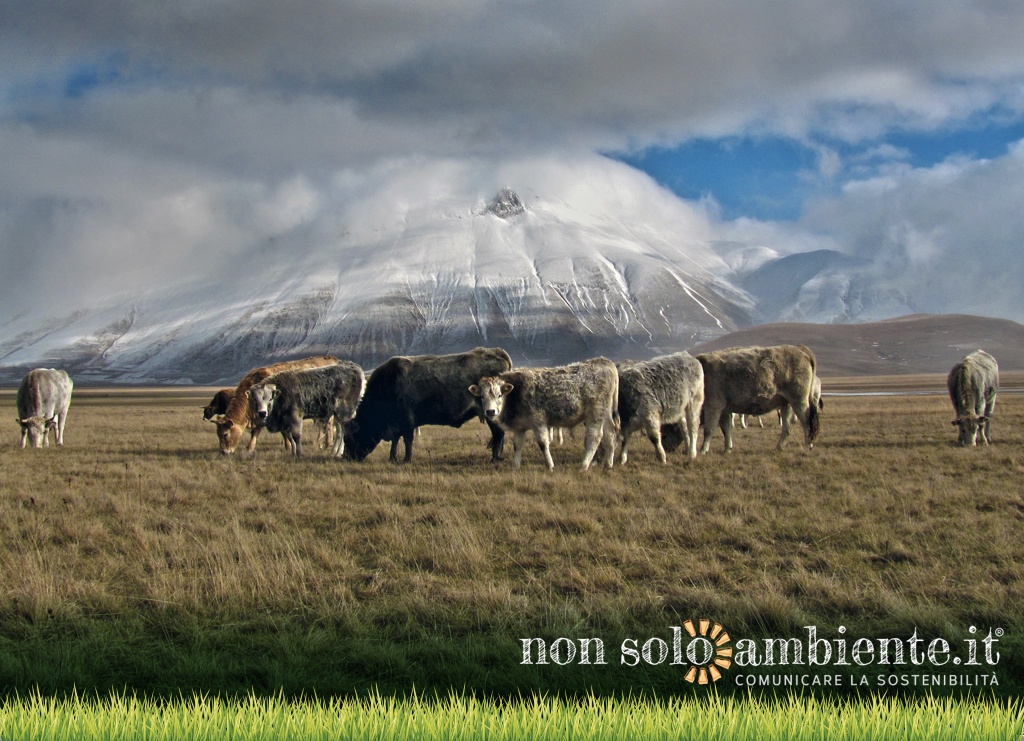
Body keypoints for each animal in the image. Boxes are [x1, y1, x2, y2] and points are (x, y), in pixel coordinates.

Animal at [209, 354, 342, 452]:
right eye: (217, 434)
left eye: (225, 434)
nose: (224, 452)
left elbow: (278, 432)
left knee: (328, 424)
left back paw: (328, 444)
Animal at [346, 343, 512, 460]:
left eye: (350, 437)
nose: (346, 457)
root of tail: (496, 352)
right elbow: (396, 441)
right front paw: (392, 458)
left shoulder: (407, 422)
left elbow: (407, 441)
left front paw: (406, 459)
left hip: (491, 413)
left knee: (498, 434)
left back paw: (494, 458)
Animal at [468, 358, 618, 468]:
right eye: (482, 396)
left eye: (499, 395)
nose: (490, 411)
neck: (516, 392)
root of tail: (603, 361)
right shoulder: (519, 427)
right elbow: (517, 445)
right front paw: (515, 466)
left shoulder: (538, 421)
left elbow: (543, 443)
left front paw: (550, 465)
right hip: (605, 413)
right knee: (610, 434)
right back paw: (608, 464)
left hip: (595, 412)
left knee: (595, 436)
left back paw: (584, 465)